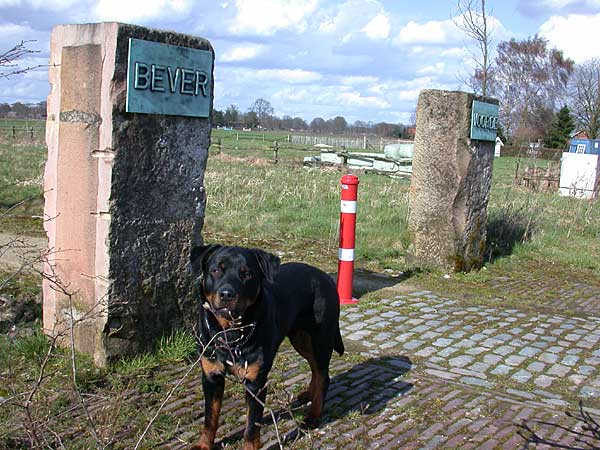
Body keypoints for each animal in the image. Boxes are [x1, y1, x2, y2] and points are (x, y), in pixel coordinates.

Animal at [190, 246, 344, 450]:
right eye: (216, 270)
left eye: (247, 274)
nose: (226, 294)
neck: (230, 334)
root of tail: (325, 277)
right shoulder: (211, 377)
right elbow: (210, 418)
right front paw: (203, 444)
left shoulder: (256, 384)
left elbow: (251, 427)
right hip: (301, 338)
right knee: (316, 370)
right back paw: (308, 394)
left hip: (321, 338)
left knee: (323, 376)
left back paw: (312, 416)